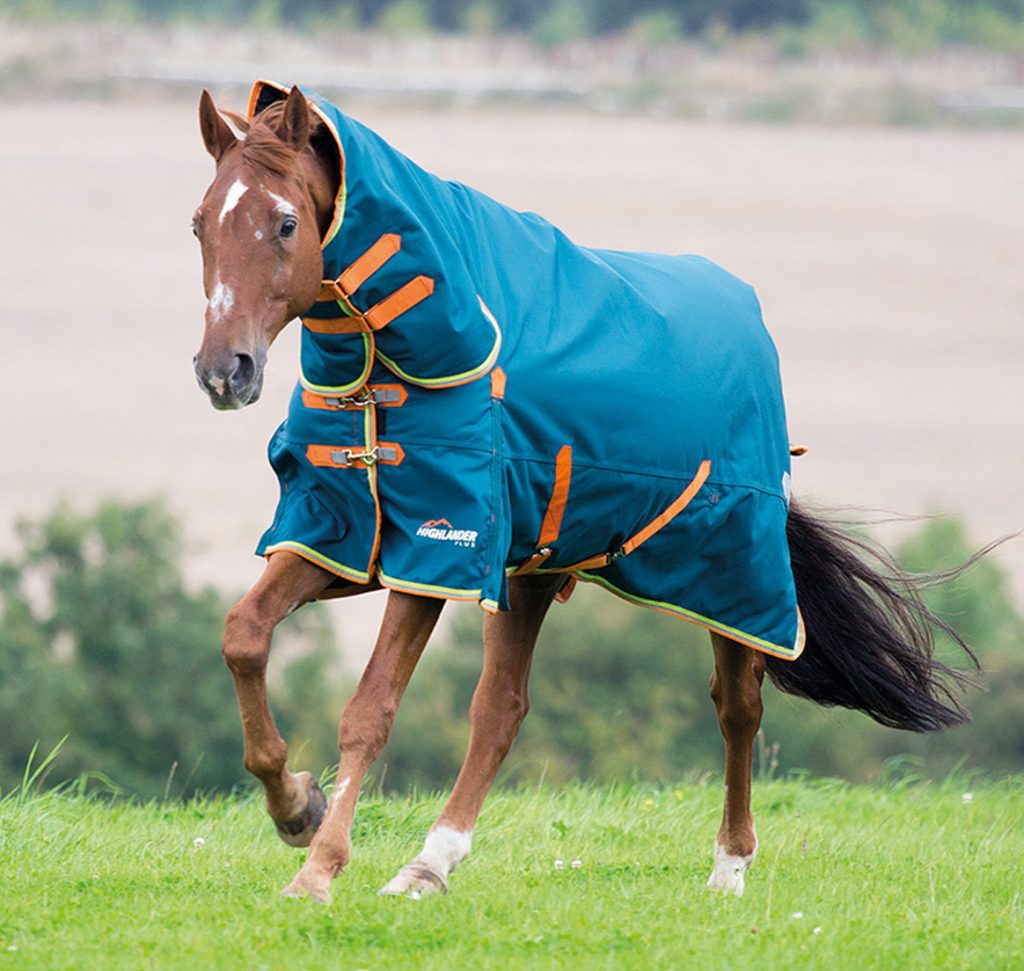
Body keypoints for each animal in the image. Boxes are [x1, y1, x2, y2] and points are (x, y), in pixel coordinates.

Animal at [191, 83, 976, 903]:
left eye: (285, 222)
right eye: (199, 222)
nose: (224, 370)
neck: (392, 368)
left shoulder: (441, 549)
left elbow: (370, 707)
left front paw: (317, 869)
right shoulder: (344, 534)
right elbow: (244, 634)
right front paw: (296, 806)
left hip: (733, 569)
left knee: (738, 705)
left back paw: (729, 865)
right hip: (537, 567)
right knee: (501, 708)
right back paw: (429, 863)